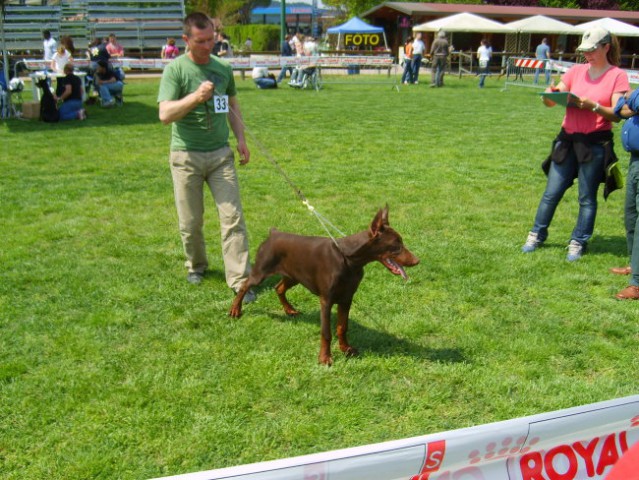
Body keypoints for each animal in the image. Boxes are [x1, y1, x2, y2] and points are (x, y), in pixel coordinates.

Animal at [230, 204, 420, 366]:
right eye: (396, 245)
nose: (417, 261)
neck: (349, 260)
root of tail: (273, 233)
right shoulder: (326, 300)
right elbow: (326, 332)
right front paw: (324, 358)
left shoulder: (346, 298)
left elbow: (342, 327)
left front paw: (345, 349)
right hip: (261, 272)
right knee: (244, 285)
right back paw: (235, 310)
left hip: (294, 276)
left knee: (279, 288)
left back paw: (289, 310)